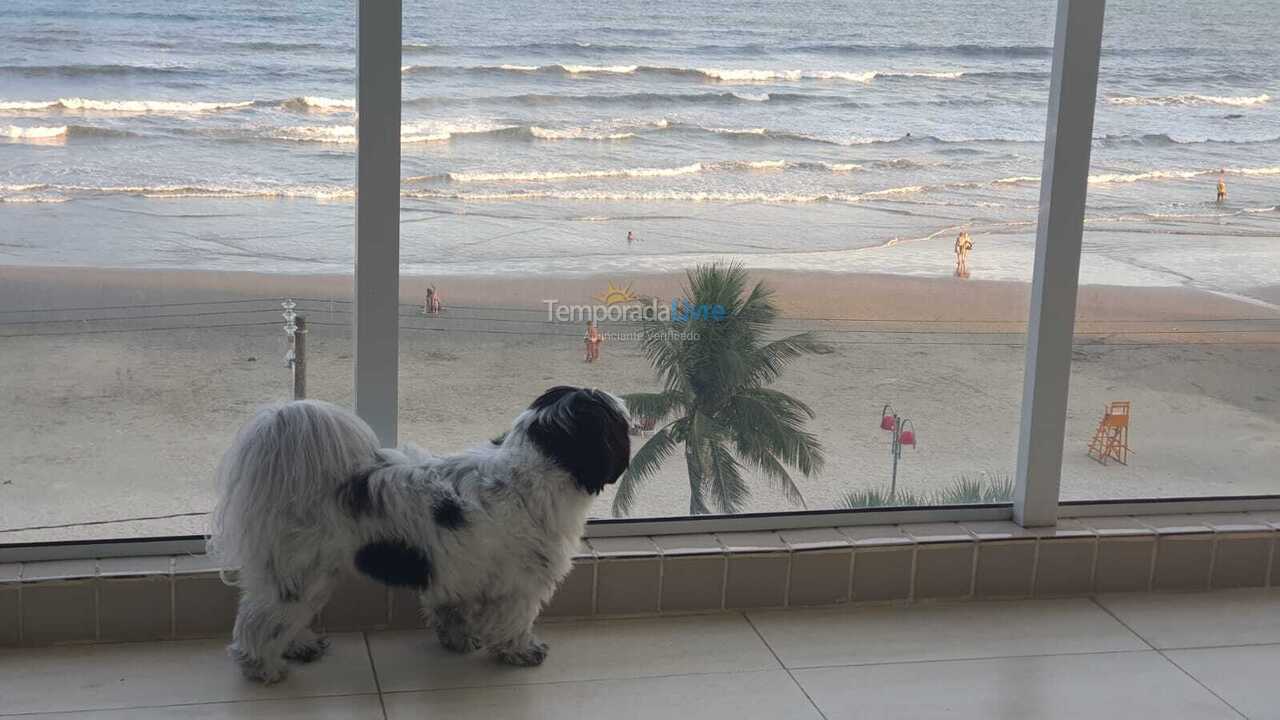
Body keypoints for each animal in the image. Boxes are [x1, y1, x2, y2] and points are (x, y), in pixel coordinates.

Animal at [204, 384, 629, 681]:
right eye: (617, 421)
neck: (530, 471)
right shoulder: (520, 587)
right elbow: (515, 623)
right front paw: (521, 651)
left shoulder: (458, 575)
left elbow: (451, 612)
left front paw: (459, 640)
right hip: (303, 577)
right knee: (261, 622)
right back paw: (262, 667)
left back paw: (299, 646)